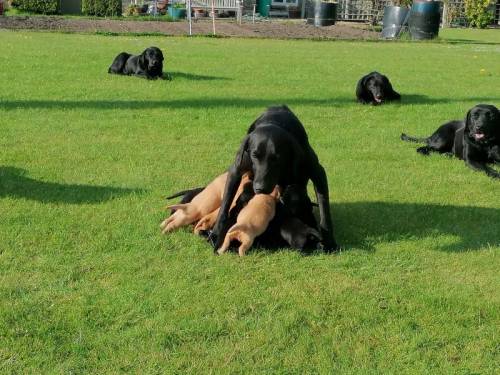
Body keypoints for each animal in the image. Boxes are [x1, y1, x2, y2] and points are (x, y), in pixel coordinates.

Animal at [207, 104, 340, 254]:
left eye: (276, 158)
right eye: (254, 155)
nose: (260, 188)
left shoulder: (317, 172)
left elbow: (325, 210)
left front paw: (329, 241)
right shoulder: (237, 169)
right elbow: (225, 204)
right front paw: (216, 233)